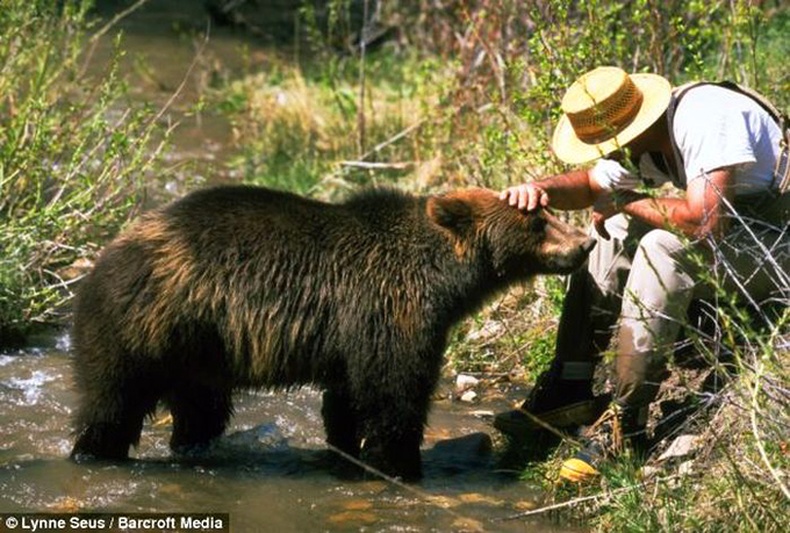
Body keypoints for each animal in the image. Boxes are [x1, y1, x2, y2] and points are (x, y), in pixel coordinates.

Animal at [71, 185, 592, 480]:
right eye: (538, 221)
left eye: (547, 212)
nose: (585, 242)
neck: (444, 278)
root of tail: (107, 253)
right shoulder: (388, 308)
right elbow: (394, 391)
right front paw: (400, 465)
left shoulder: (353, 334)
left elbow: (347, 397)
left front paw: (348, 451)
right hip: (145, 326)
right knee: (112, 402)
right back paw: (93, 452)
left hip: (198, 350)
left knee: (201, 408)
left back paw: (194, 447)